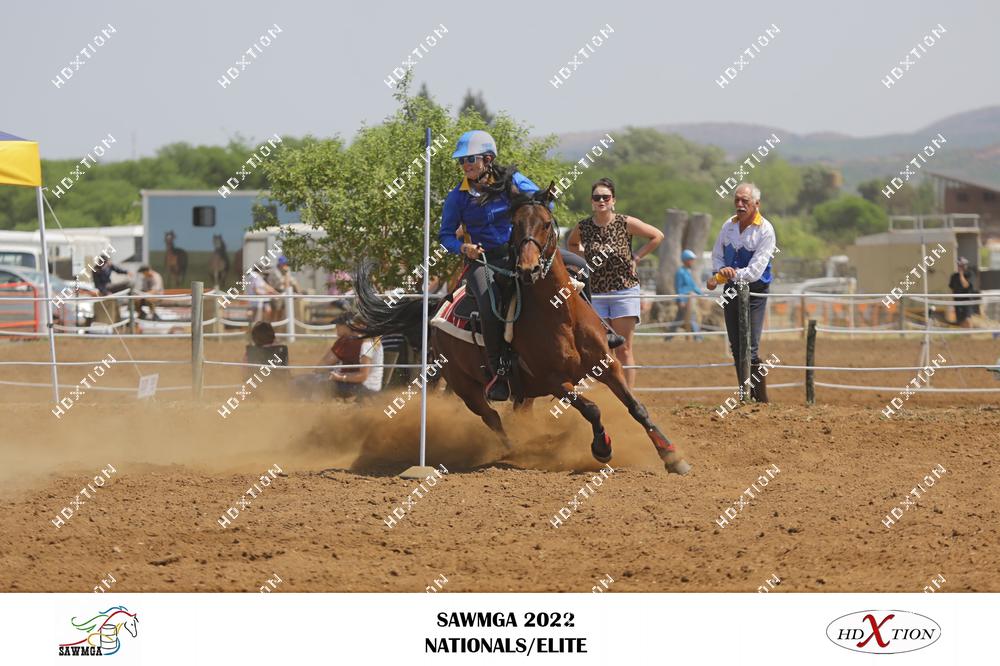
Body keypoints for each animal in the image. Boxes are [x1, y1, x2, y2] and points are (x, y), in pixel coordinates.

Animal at [351, 181, 690, 474]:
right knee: (492, 418)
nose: (528, 268)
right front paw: (602, 448)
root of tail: (437, 307)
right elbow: (592, 409)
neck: (561, 315)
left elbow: (636, 407)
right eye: (514, 224)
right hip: (465, 386)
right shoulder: (555, 380)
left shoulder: (607, 364)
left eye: (546, 223)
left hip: (522, 391)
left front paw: (671, 455)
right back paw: (518, 449)